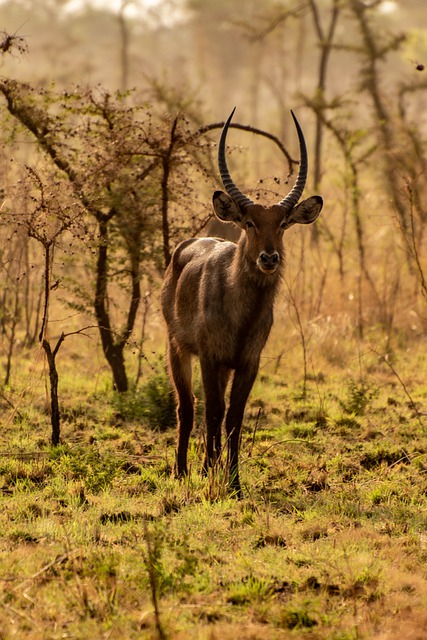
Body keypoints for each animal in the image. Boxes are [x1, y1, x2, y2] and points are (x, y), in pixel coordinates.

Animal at [162, 109, 322, 500]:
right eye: (249, 222)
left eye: (283, 224)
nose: (269, 258)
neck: (243, 314)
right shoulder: (210, 357)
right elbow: (213, 411)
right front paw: (209, 474)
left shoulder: (248, 362)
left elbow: (234, 416)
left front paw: (233, 482)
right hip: (177, 349)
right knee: (187, 407)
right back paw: (182, 470)